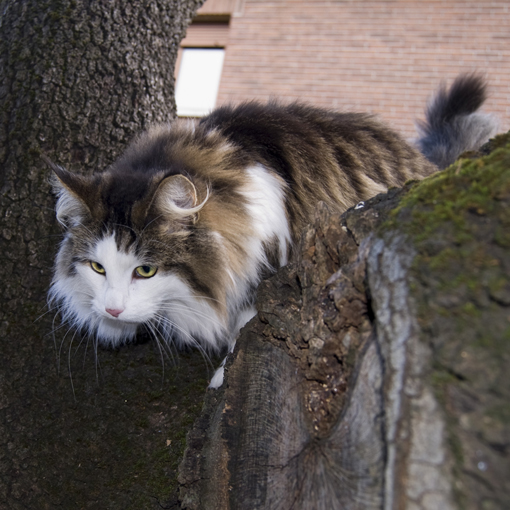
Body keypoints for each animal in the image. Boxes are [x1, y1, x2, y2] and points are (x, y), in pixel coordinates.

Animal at [44, 72, 498, 386]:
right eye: (97, 268)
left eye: (146, 270)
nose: (112, 310)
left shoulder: (273, 261)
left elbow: (245, 322)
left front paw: (221, 377)